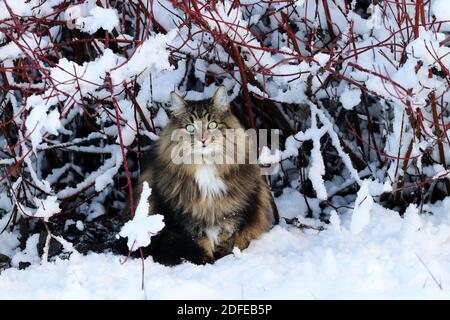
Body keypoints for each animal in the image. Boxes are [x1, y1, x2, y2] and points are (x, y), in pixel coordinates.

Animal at [126, 85, 278, 264]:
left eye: (212, 125)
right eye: (190, 127)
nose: (203, 140)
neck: (206, 165)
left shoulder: (232, 212)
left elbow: (225, 238)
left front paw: (222, 260)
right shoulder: (186, 218)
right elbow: (200, 242)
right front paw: (206, 262)